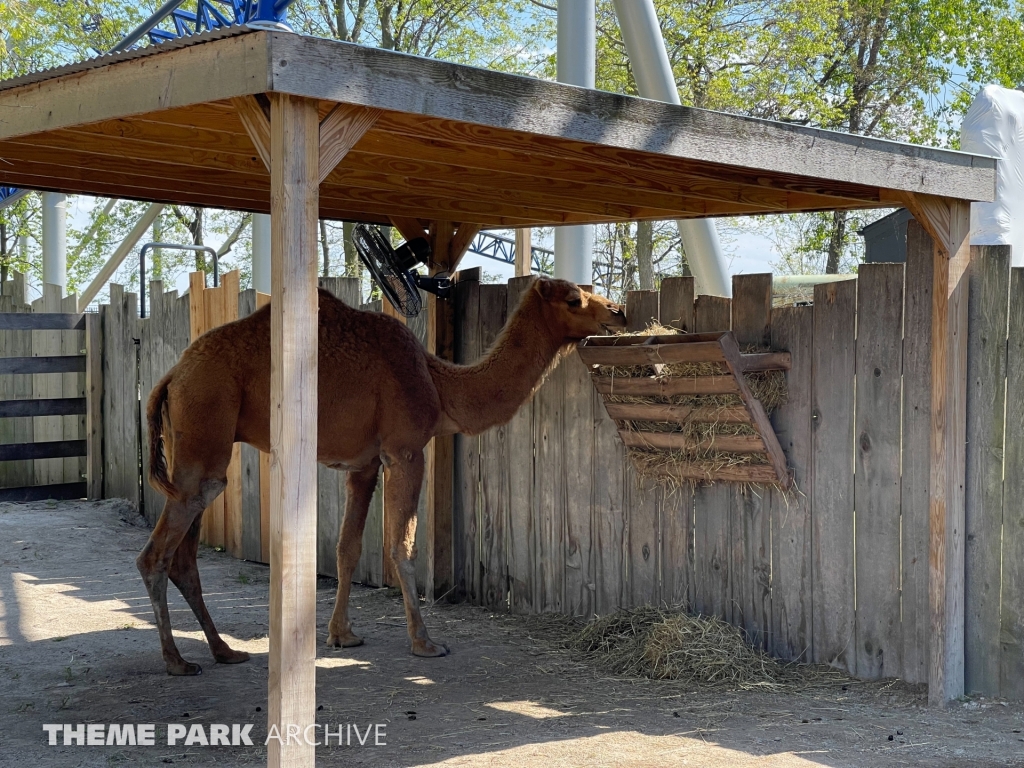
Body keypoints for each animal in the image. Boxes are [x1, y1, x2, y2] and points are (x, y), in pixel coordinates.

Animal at [138, 276, 622, 671]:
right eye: (575, 299)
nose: (617, 312)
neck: (438, 385)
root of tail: (171, 377)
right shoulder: (405, 450)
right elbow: (400, 546)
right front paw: (425, 642)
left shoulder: (364, 464)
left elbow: (347, 548)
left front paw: (342, 634)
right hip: (205, 430)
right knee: (156, 555)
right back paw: (177, 661)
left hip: (195, 454)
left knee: (185, 555)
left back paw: (224, 651)